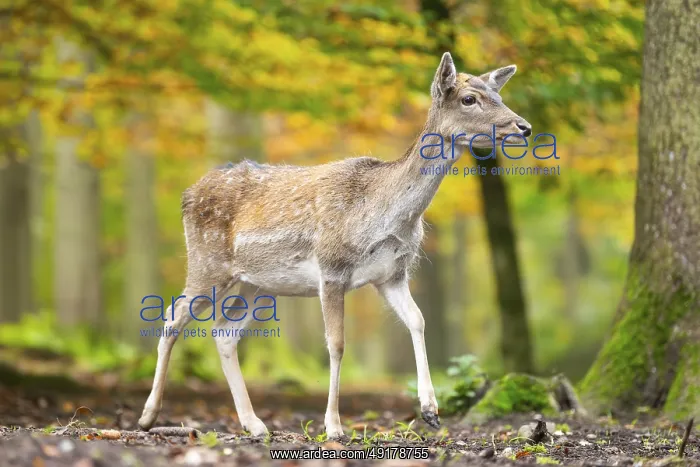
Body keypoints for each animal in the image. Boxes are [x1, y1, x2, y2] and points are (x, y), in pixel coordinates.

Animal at [137, 51, 532, 439]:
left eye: (498, 95)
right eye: (469, 99)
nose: (523, 127)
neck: (387, 216)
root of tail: (187, 195)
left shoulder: (392, 274)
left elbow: (418, 321)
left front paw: (431, 411)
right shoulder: (331, 268)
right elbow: (337, 343)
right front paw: (334, 426)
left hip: (256, 283)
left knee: (223, 332)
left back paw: (255, 424)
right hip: (207, 262)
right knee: (173, 317)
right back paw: (148, 416)